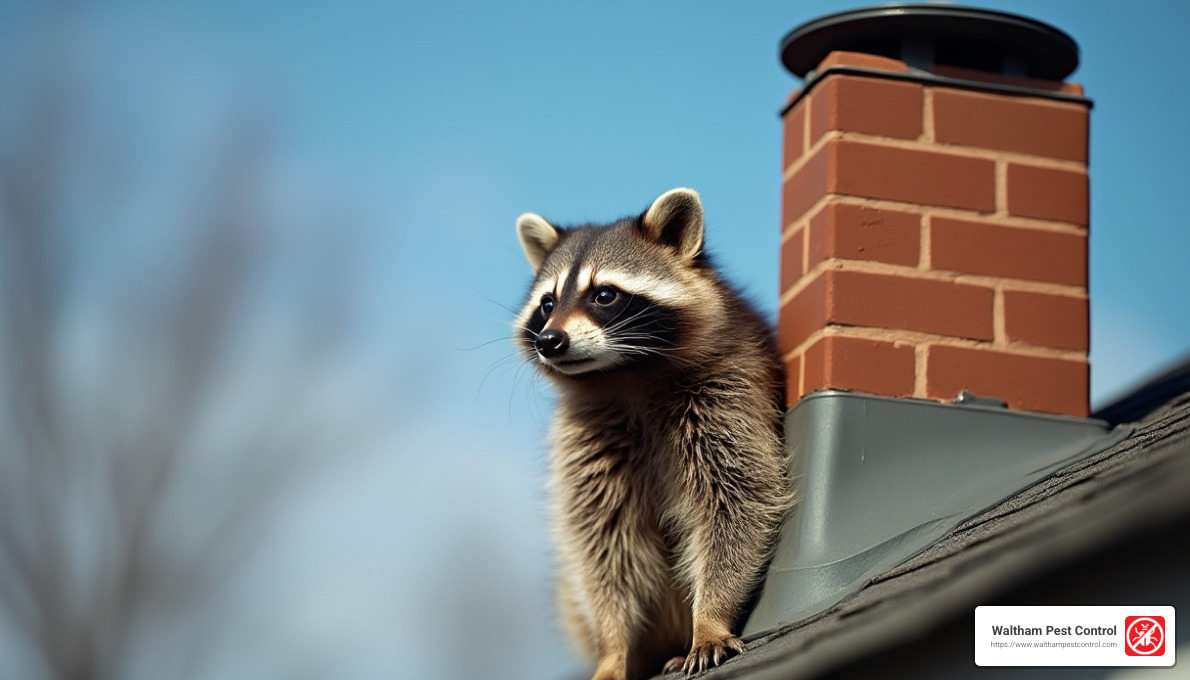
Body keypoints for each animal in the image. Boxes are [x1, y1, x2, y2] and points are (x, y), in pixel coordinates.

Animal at [514, 188, 792, 680]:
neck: (625, 376)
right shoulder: (586, 443)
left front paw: (710, 618)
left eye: (605, 295)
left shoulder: (727, 398)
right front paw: (612, 648)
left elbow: (736, 506)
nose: (549, 340)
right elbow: (601, 546)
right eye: (547, 303)